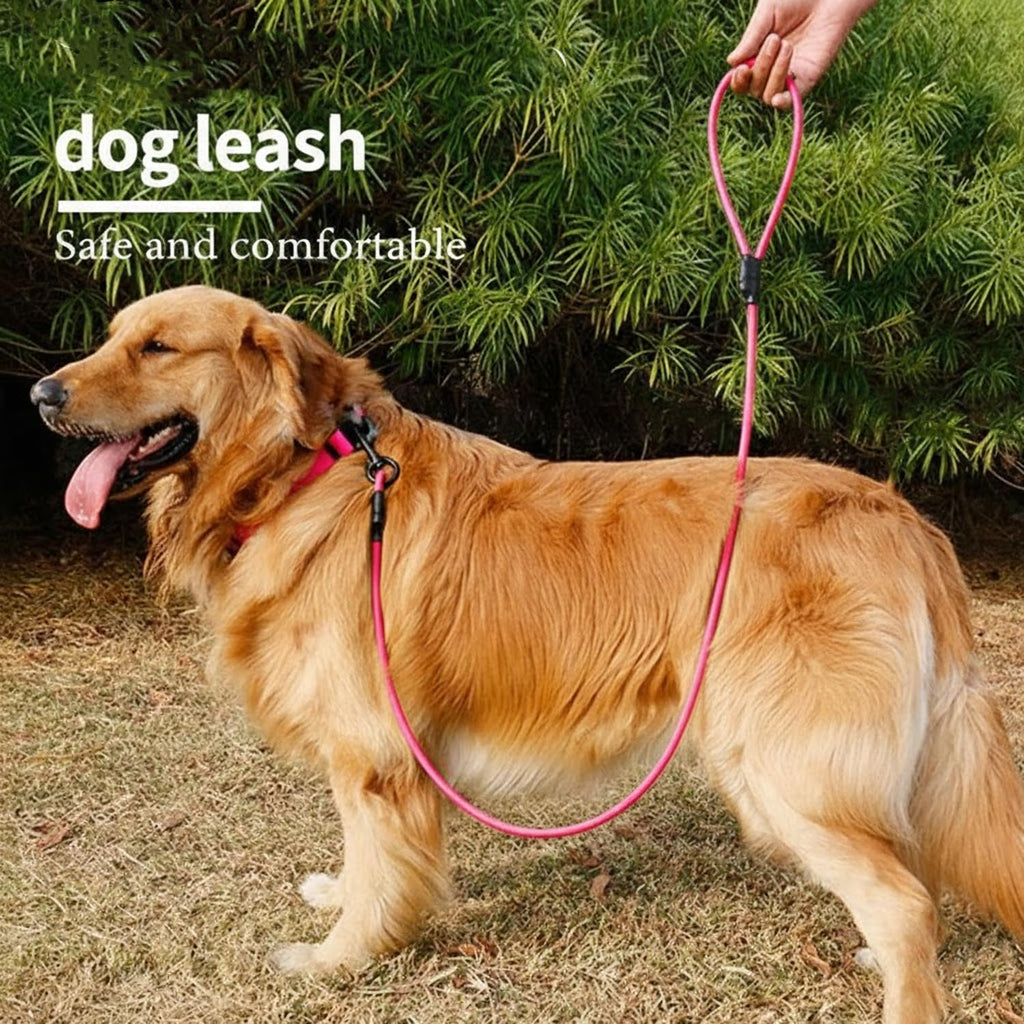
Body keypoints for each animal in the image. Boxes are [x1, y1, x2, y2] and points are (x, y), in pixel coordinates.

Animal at [31, 285, 1024, 1024]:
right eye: (112, 337)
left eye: (158, 348)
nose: (41, 394)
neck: (305, 477)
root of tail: (905, 521)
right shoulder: (374, 756)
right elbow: (365, 856)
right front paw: (341, 899)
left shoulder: (374, 752)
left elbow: (382, 871)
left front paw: (337, 959)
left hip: (781, 769)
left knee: (907, 902)